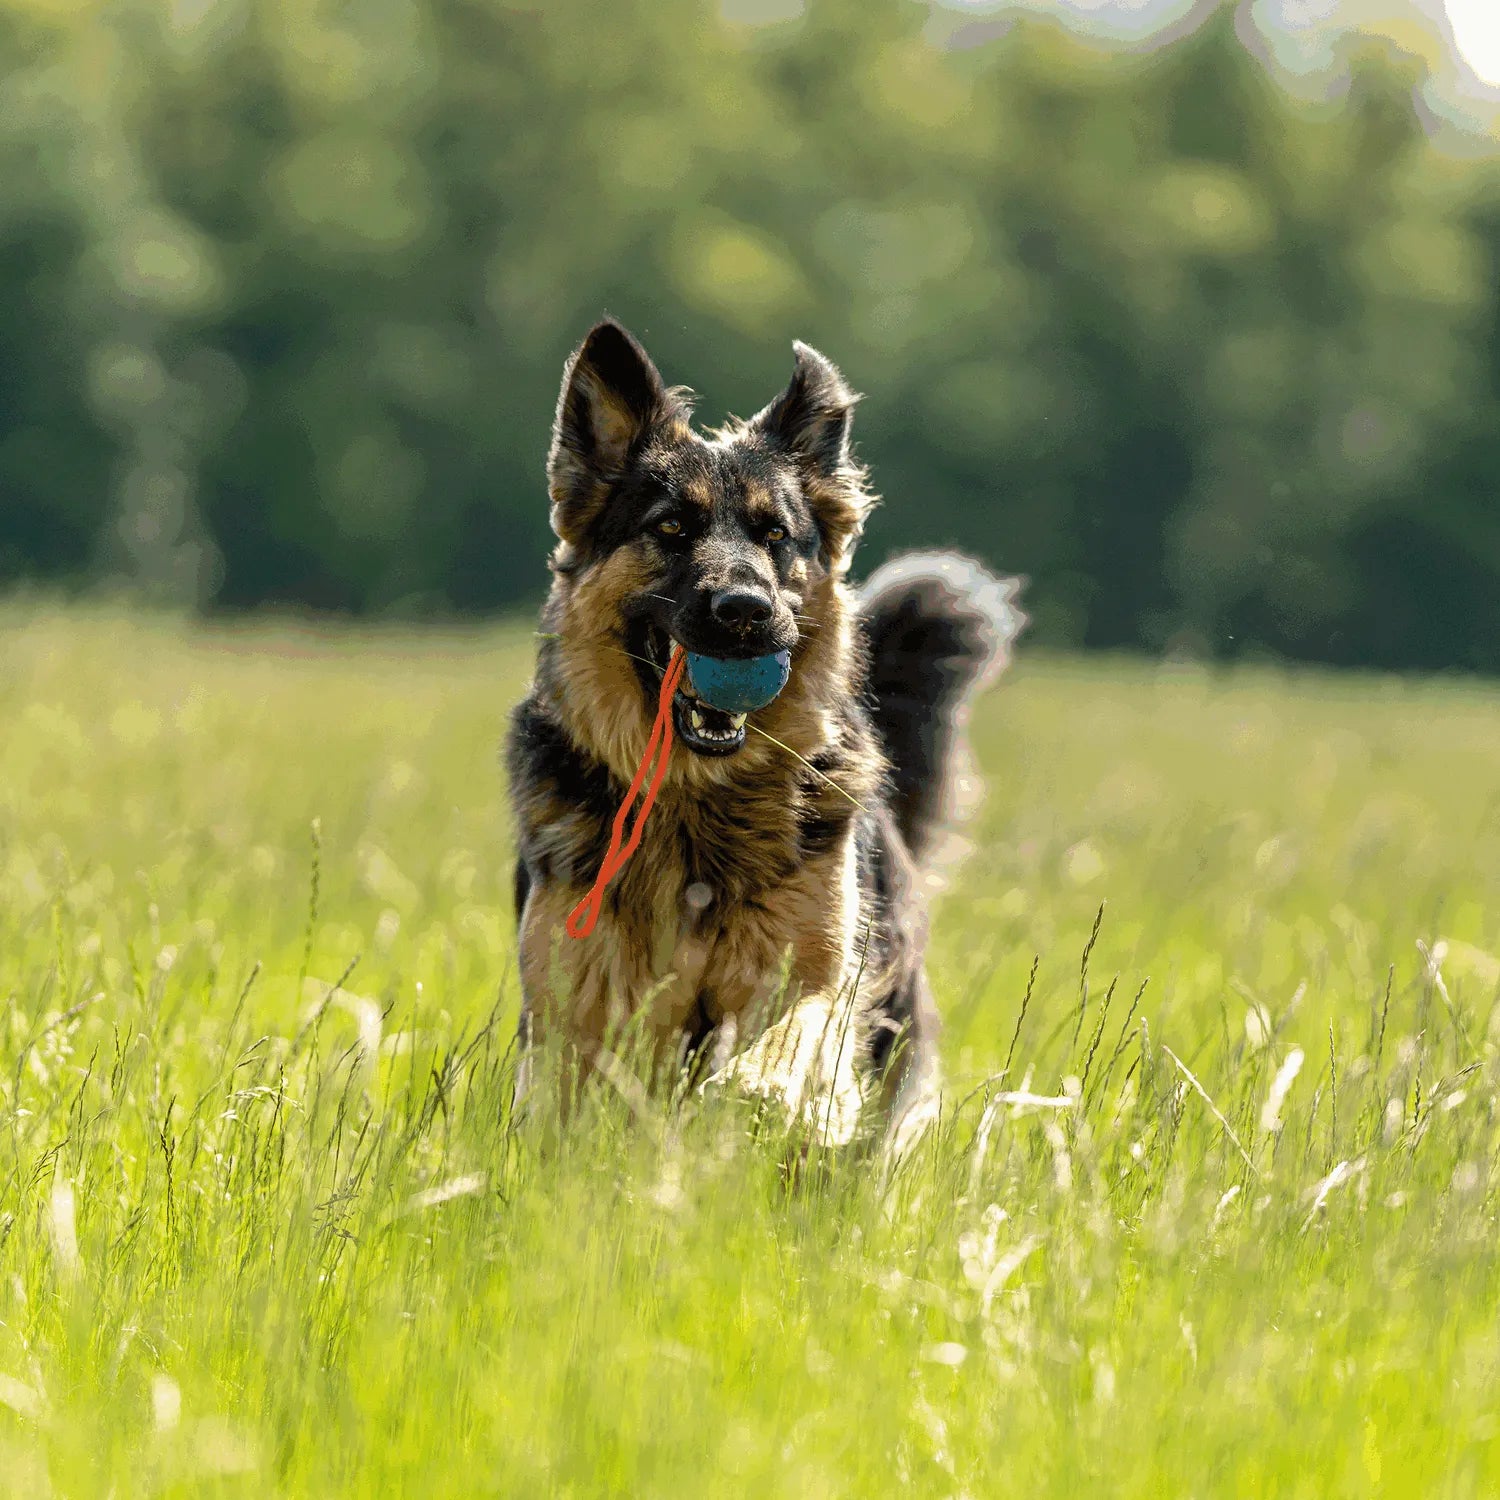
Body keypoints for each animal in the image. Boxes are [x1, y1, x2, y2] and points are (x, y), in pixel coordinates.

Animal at [510, 319, 1026, 1146]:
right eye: (672, 527)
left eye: (775, 534)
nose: (746, 611)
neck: (697, 800)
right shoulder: (575, 1001)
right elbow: (566, 1099)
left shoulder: (813, 967)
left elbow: (790, 1038)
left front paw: (764, 1096)